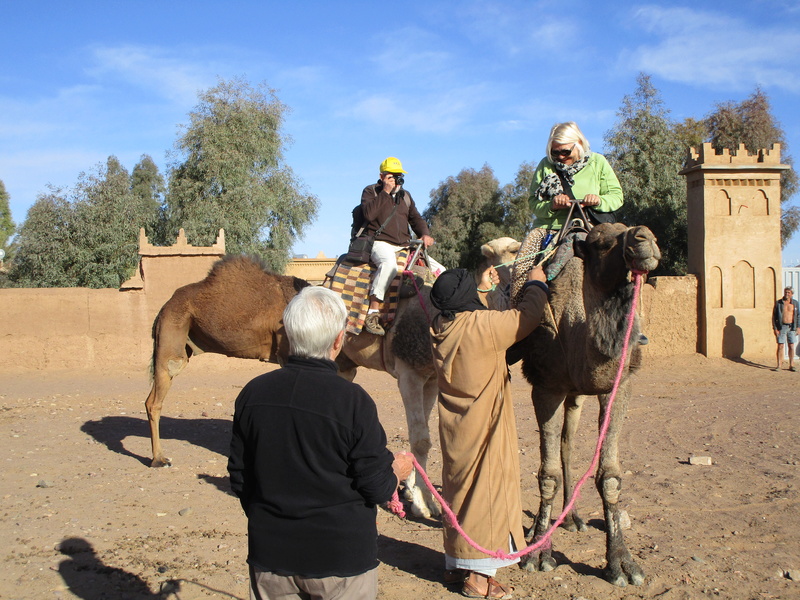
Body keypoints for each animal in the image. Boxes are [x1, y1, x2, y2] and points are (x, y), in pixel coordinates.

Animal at [145, 255, 444, 516]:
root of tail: (168, 303)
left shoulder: (429, 378)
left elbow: (423, 438)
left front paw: (419, 496)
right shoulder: (409, 373)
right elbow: (421, 440)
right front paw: (424, 505)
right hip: (172, 338)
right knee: (155, 397)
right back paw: (158, 459)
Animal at [506, 223, 664, 584]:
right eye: (600, 242)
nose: (644, 238)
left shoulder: (617, 386)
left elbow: (610, 475)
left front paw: (622, 563)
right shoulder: (546, 387)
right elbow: (547, 474)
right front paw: (538, 553)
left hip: (576, 395)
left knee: (567, 444)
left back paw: (571, 518)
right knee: (559, 449)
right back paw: (541, 527)